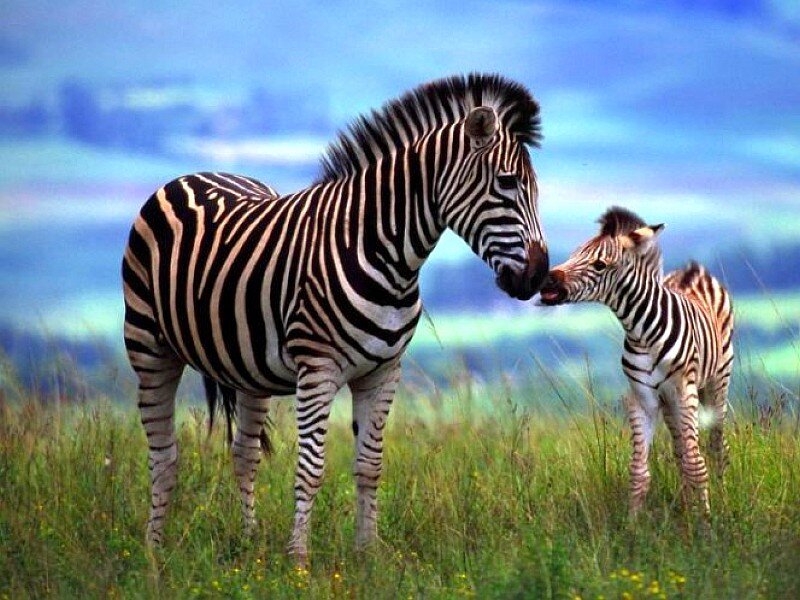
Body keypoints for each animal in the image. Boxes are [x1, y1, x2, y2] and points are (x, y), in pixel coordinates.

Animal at [122, 74, 550, 562]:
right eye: (507, 183)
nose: (538, 276)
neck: (385, 255)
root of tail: (192, 174)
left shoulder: (384, 371)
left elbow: (369, 464)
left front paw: (368, 553)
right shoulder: (318, 369)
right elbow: (311, 469)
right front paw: (299, 560)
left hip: (246, 368)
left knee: (244, 453)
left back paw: (249, 545)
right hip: (148, 347)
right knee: (164, 455)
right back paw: (153, 552)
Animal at [538, 207, 734, 517]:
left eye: (599, 265)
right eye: (574, 253)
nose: (546, 281)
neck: (642, 333)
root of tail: (694, 270)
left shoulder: (683, 391)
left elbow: (696, 464)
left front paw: (705, 521)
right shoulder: (643, 398)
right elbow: (639, 470)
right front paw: (633, 524)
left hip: (716, 382)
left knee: (716, 445)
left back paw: (720, 497)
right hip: (669, 402)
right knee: (680, 449)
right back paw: (685, 503)